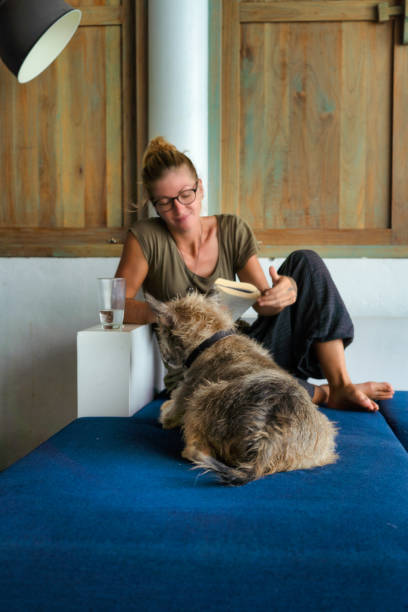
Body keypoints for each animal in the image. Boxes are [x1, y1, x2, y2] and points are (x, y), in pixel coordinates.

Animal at [145, 292, 336, 488]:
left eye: (162, 331)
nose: (166, 358)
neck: (210, 339)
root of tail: (267, 438)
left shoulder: (185, 392)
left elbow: (169, 412)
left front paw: (164, 408)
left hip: (201, 396)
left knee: (196, 450)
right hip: (325, 438)